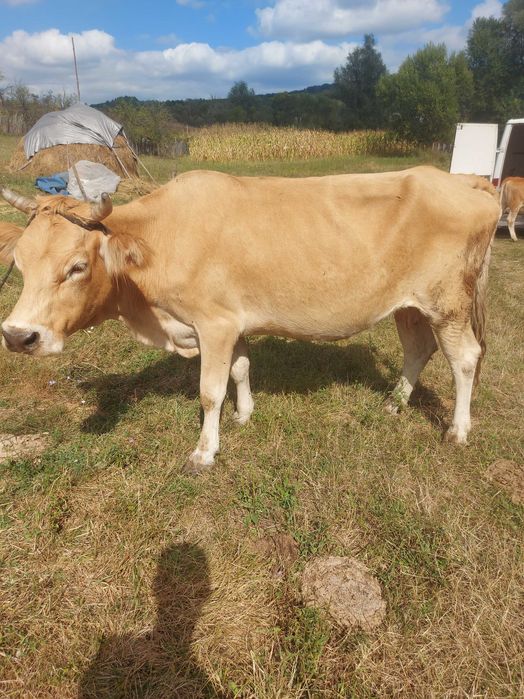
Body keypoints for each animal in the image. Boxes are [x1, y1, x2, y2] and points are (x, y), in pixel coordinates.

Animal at [0, 166, 500, 474]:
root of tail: (464, 181)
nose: (18, 336)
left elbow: (209, 391)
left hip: (448, 302)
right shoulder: (233, 322)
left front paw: (205, 451)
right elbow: (240, 370)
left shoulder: (214, 324)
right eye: (19, 263)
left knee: (465, 358)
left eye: (77, 266)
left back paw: (457, 430)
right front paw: (243, 415)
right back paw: (394, 403)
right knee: (418, 349)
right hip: (409, 305)